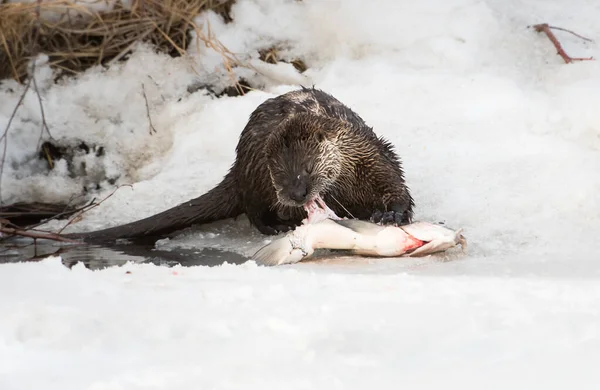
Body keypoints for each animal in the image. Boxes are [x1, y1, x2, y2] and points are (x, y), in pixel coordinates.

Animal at [70, 87, 414, 242]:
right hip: (252, 178)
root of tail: (236, 169)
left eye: (307, 167)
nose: (296, 195)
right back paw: (276, 226)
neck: (349, 179)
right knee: (253, 210)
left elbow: (397, 188)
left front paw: (392, 214)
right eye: (279, 173)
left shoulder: (375, 156)